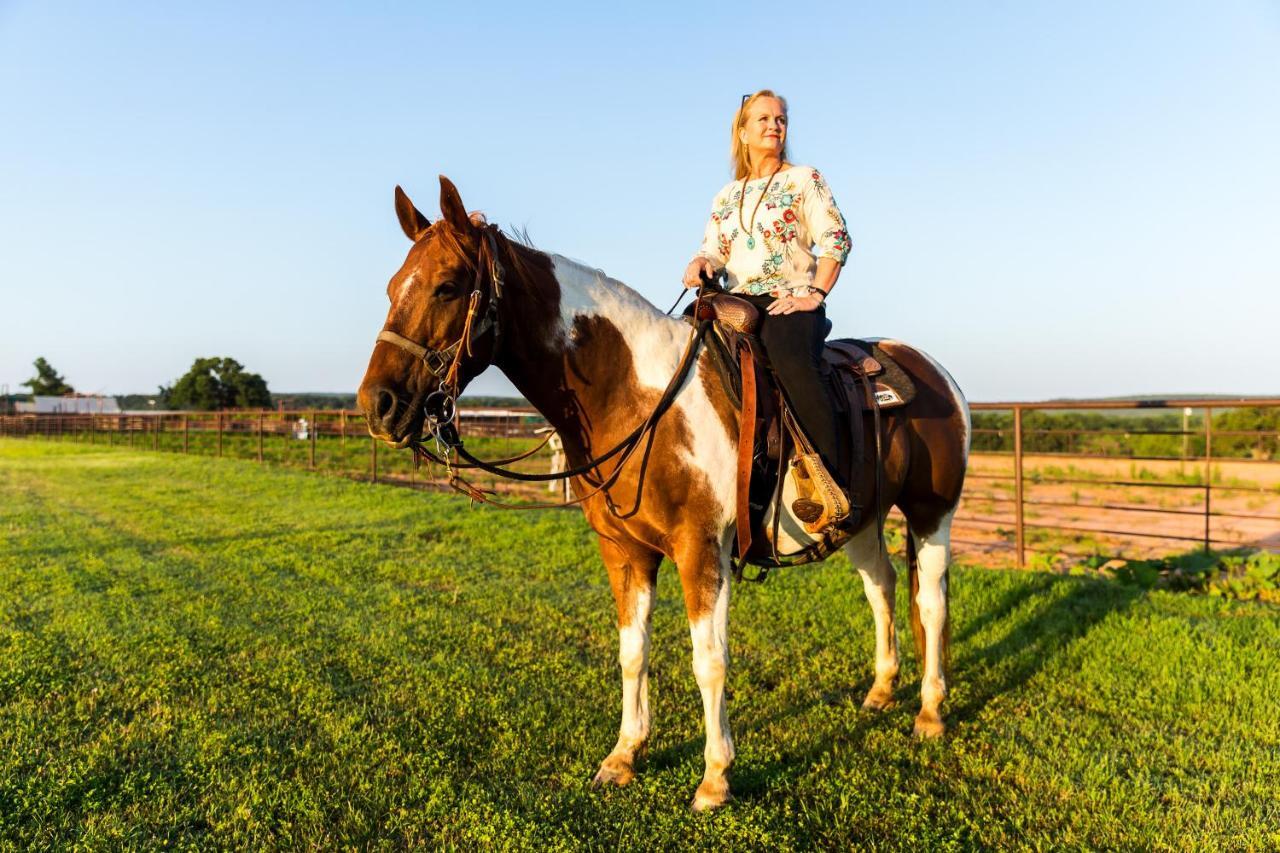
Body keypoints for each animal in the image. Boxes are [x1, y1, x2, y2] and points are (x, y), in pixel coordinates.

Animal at [355, 175, 962, 809]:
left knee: (931, 604)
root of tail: (932, 369)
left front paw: (715, 777)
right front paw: (625, 754)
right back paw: (882, 691)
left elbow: (709, 660)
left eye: (447, 287)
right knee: (882, 588)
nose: (377, 405)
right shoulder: (625, 552)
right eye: (393, 287)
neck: (639, 397)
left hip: (932, 515)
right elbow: (632, 653)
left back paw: (930, 712)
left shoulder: (702, 550)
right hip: (863, 522)